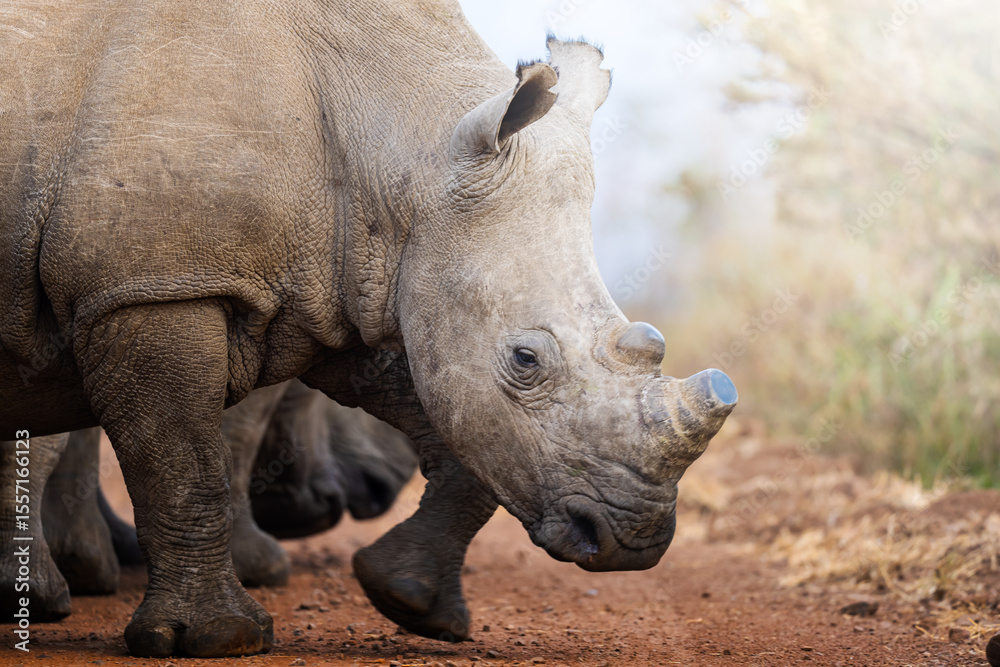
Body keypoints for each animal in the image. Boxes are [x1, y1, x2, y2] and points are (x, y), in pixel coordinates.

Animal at [0, 0, 736, 658]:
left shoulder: (374, 274)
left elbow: (454, 427)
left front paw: (409, 600)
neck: (402, 141)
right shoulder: (151, 285)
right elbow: (185, 460)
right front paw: (220, 638)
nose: (630, 540)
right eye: (526, 360)